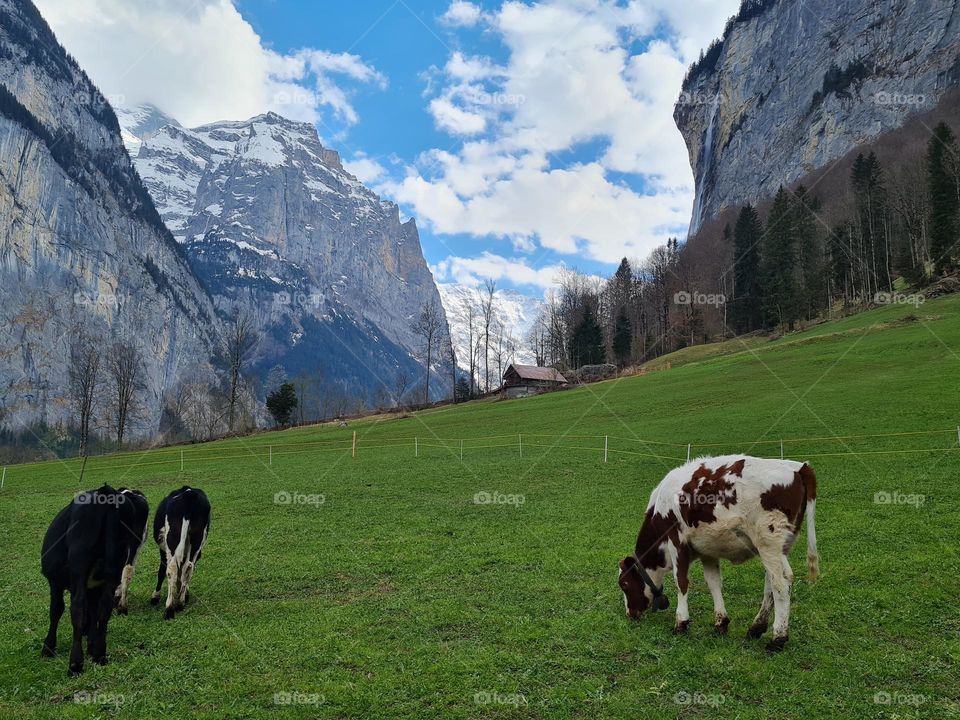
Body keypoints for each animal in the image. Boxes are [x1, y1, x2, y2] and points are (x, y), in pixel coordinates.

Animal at [40, 485, 148, 675]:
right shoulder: (95, 588)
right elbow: (94, 612)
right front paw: (91, 645)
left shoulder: (55, 583)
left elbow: (56, 610)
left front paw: (48, 647)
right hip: (115, 568)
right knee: (106, 606)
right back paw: (100, 655)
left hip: (79, 563)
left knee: (77, 606)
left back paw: (75, 664)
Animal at [151, 486, 210, 619]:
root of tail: (189, 494)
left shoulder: (163, 550)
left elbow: (162, 571)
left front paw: (155, 596)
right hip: (196, 539)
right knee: (189, 567)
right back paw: (180, 603)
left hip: (172, 539)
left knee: (172, 568)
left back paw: (169, 609)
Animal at [618, 455, 818, 652]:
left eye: (624, 584)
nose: (630, 613)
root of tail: (799, 468)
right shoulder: (707, 550)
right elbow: (713, 583)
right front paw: (721, 623)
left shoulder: (676, 542)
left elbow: (681, 582)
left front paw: (681, 622)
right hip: (780, 548)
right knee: (773, 583)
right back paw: (756, 627)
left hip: (768, 544)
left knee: (780, 585)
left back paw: (778, 638)